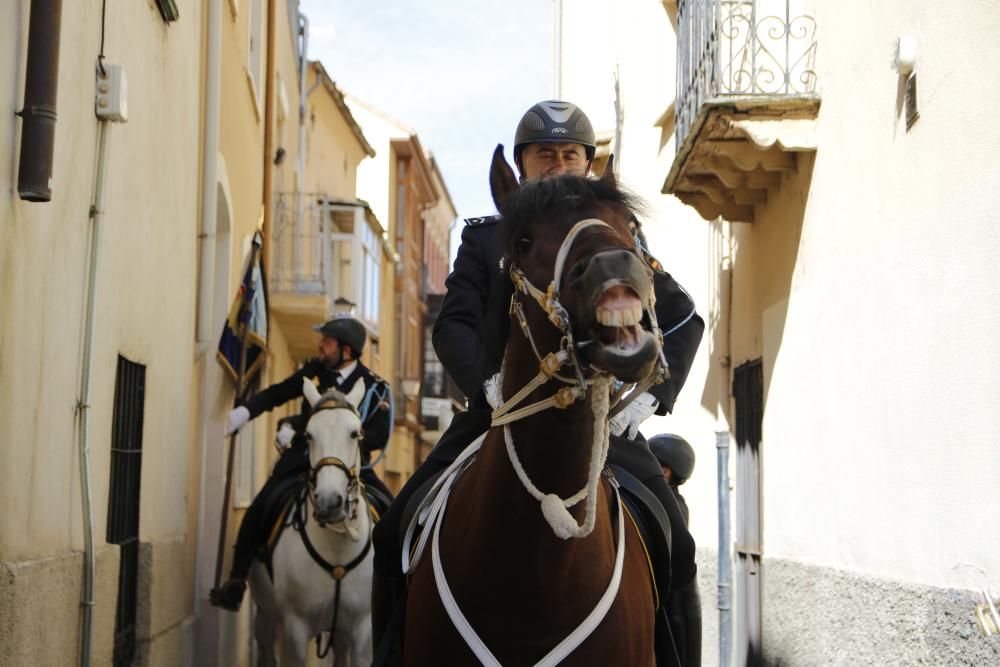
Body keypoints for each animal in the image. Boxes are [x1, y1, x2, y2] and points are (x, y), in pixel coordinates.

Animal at [249, 380, 376, 667]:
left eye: (356, 433)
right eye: (308, 435)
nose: (330, 502)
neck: (337, 549)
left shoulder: (362, 629)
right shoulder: (295, 629)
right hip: (266, 615)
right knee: (265, 647)